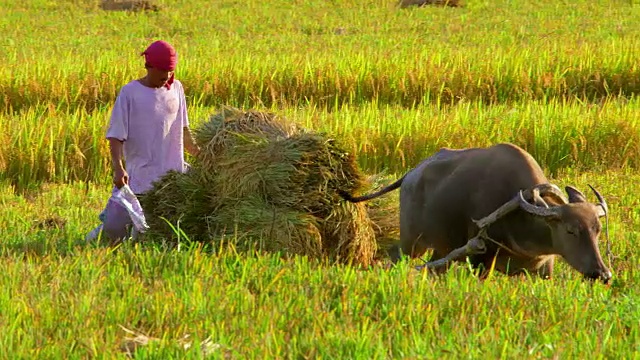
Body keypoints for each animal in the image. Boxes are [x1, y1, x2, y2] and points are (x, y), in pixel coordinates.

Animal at [340, 142, 616, 282]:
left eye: (597, 230)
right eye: (570, 230)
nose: (602, 274)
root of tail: (411, 174)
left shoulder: (543, 268)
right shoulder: (480, 259)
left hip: (442, 246)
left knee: (434, 267)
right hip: (413, 241)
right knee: (397, 255)